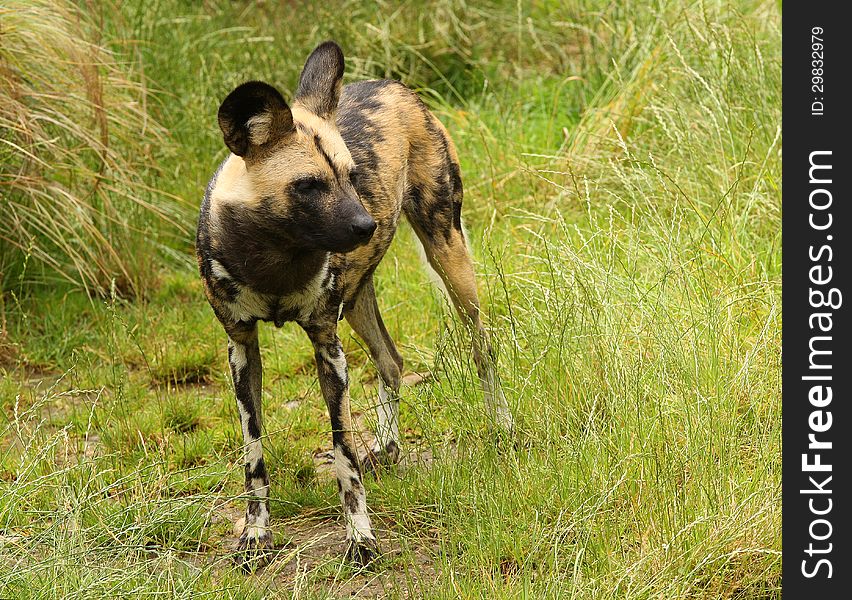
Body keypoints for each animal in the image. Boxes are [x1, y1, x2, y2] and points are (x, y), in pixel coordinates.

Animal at [196, 42, 512, 568]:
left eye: (350, 176)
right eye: (308, 185)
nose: (366, 225)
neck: (274, 259)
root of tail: (392, 84)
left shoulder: (328, 346)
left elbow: (343, 453)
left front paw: (360, 537)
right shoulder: (241, 348)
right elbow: (253, 455)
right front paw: (257, 534)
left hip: (448, 255)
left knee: (482, 347)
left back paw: (503, 426)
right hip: (358, 298)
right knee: (392, 359)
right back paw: (388, 445)